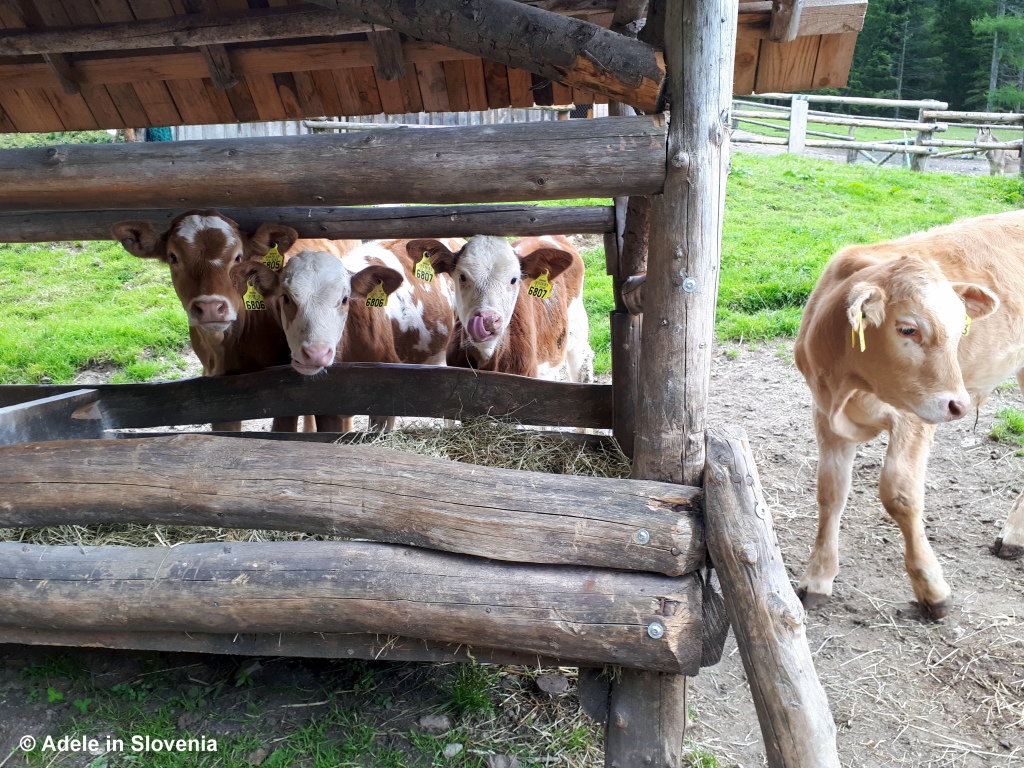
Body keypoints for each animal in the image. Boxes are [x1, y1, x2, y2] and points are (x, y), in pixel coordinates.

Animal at [794, 208, 1024, 618]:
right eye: (908, 329)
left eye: (959, 330)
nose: (959, 405)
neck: (851, 385)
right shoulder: (824, 414)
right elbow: (830, 492)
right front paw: (818, 578)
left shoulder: (914, 419)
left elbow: (900, 494)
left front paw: (932, 589)